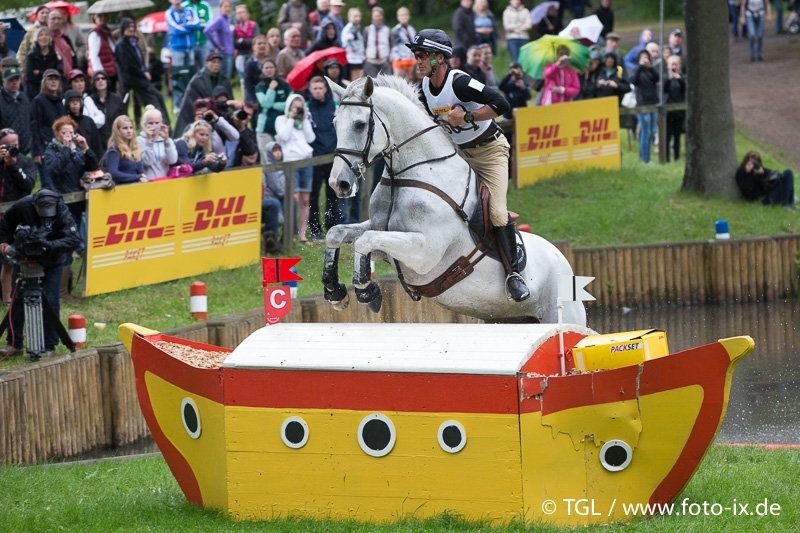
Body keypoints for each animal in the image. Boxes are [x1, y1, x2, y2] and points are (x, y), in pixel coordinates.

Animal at [320, 75, 588, 324]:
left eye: (359, 124)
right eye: (334, 123)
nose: (338, 184)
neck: (410, 175)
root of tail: (563, 259)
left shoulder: (425, 252)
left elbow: (365, 240)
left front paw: (367, 292)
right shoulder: (382, 237)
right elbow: (338, 233)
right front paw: (335, 292)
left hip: (561, 313)